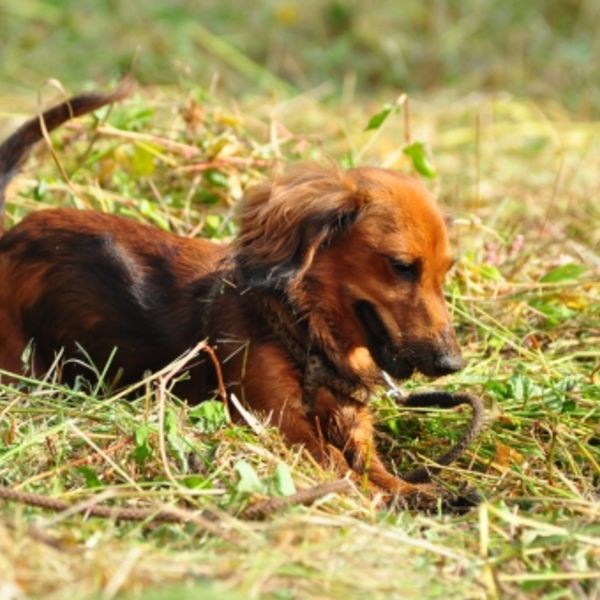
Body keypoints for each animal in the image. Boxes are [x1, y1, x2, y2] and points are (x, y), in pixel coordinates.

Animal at [0, 83, 464, 496]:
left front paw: (423, 493)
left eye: (446, 272)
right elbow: (340, 467)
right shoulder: (278, 423)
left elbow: (376, 471)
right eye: (401, 267)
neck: (301, 332)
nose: (452, 363)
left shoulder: (352, 427)